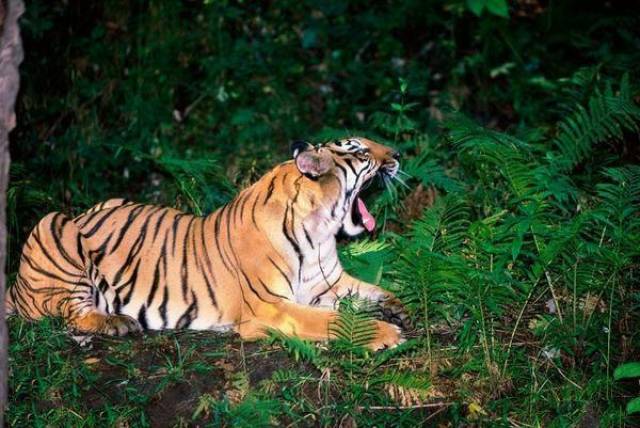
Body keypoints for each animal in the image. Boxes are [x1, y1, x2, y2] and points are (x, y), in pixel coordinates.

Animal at [6, 139, 410, 350]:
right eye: (361, 152)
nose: (397, 155)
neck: (321, 229)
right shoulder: (271, 306)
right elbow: (335, 320)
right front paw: (387, 333)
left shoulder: (326, 283)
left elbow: (371, 290)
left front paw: (397, 308)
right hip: (53, 224)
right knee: (69, 312)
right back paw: (119, 323)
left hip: (111, 201)